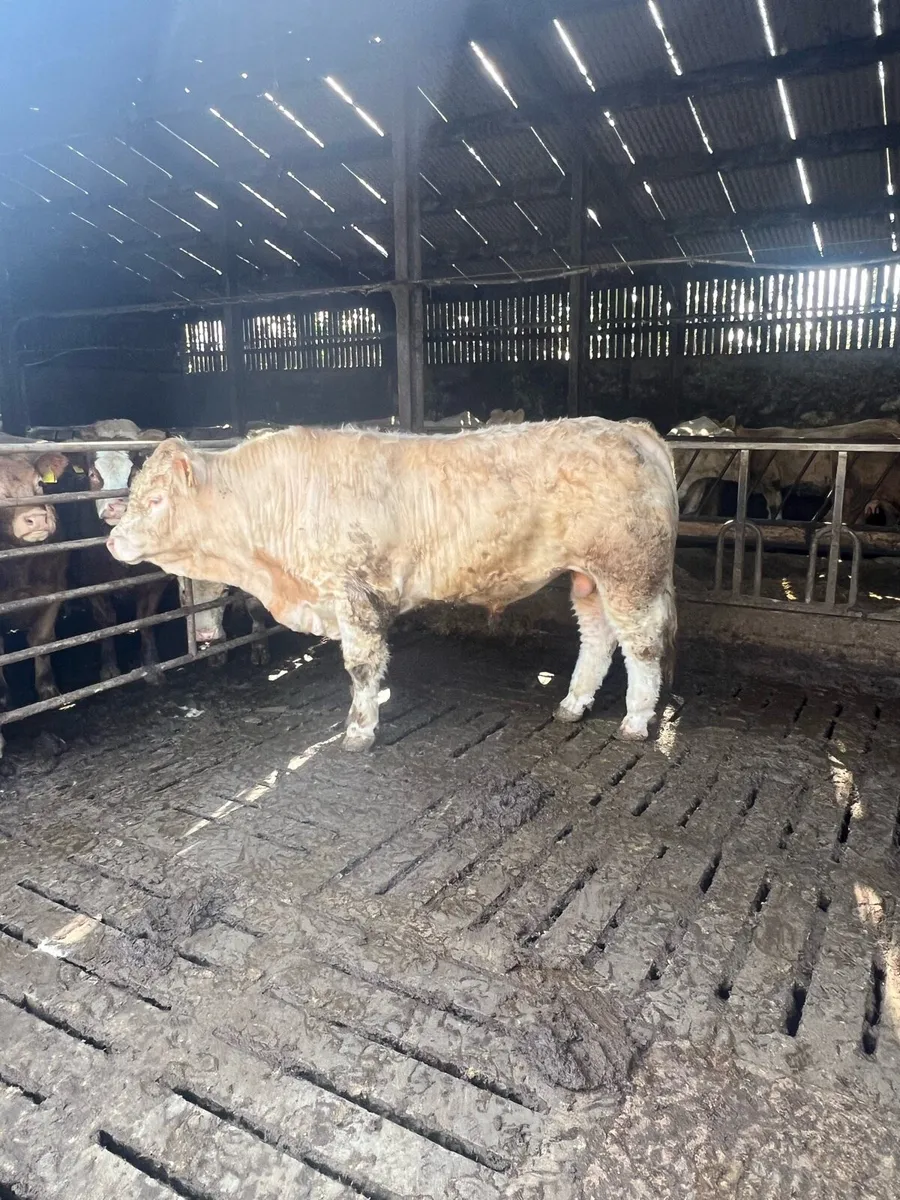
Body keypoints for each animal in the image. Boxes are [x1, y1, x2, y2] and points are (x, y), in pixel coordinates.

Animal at [0, 452, 71, 727]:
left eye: (40, 484)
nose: (38, 518)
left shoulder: (55, 589)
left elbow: (41, 640)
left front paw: (47, 690)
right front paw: (3, 698)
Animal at [107, 418, 679, 750]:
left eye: (156, 500)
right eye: (135, 493)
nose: (112, 540)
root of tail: (633, 430)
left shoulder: (356, 593)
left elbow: (362, 666)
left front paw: (359, 731)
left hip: (630, 573)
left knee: (643, 644)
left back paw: (635, 721)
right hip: (589, 577)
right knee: (599, 638)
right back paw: (573, 703)